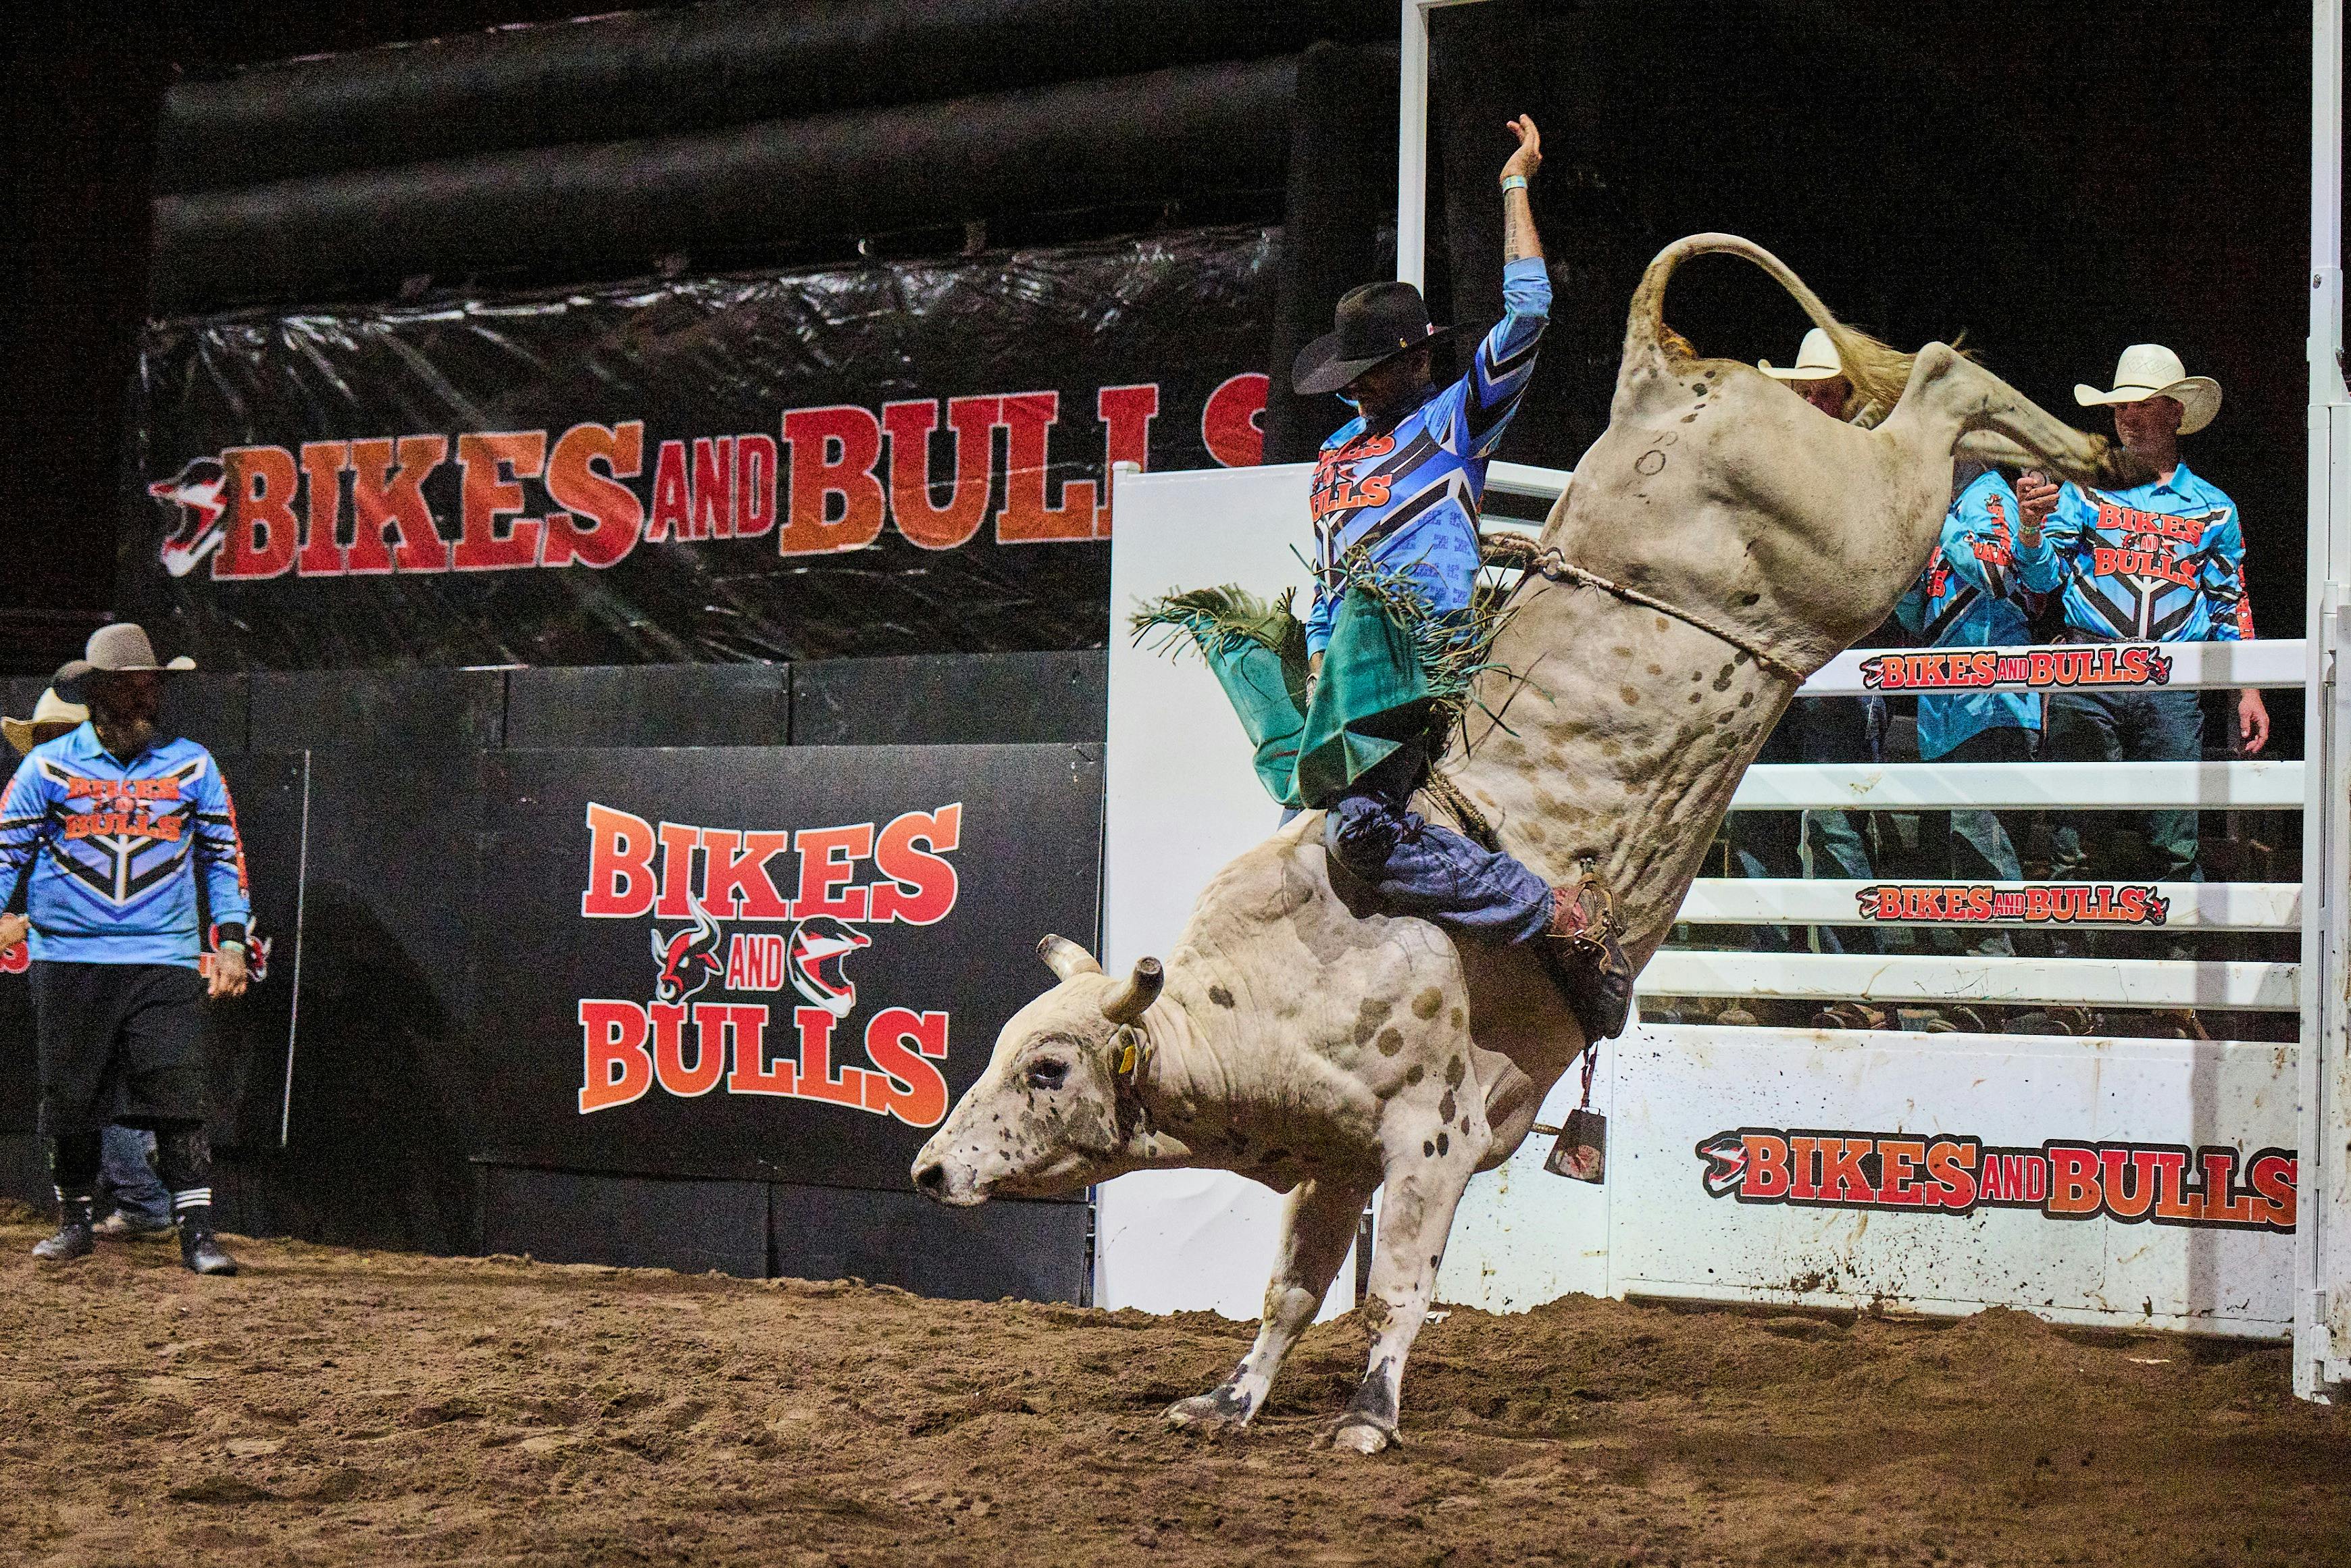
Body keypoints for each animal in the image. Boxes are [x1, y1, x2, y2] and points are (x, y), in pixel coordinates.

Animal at [912, 234, 2144, 1453]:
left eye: (1047, 1067)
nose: (927, 1165)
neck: (1266, 988)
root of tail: (1655, 380)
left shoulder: (1430, 1137)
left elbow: (1397, 1288)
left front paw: (1367, 1418)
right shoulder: (1332, 1162)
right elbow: (1292, 1289)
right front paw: (1231, 1398)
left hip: (1857, 534)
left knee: (1940, 382)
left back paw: (2098, 444)